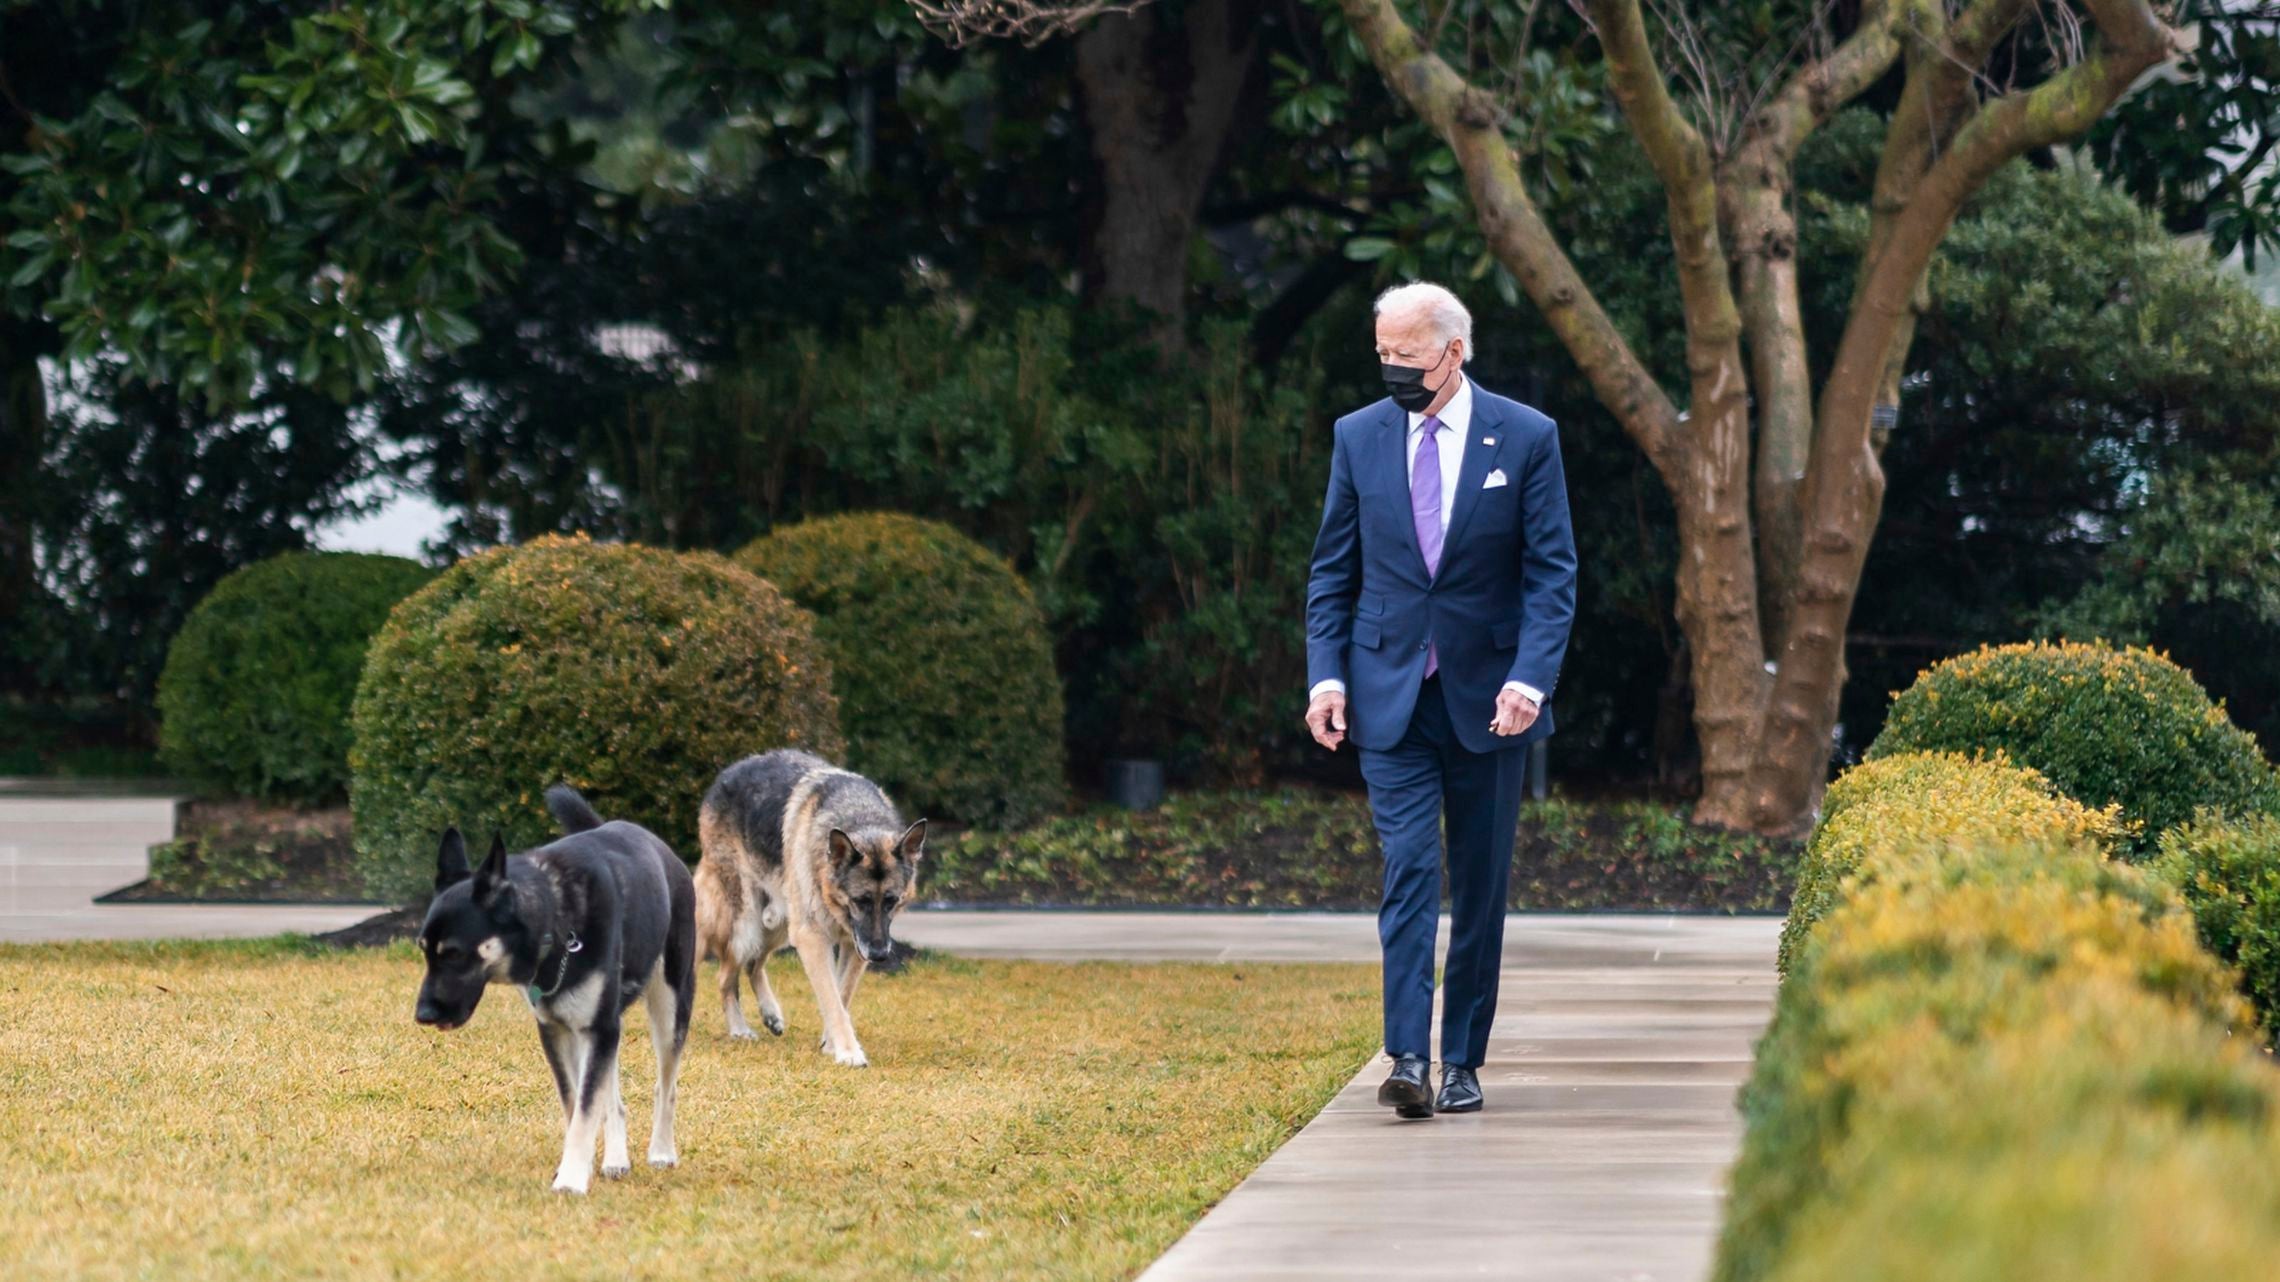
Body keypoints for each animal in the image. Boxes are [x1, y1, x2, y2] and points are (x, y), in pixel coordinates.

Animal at [410, 784, 693, 1195]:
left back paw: (661, 1151)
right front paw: (576, 1167)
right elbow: (576, 1104)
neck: (555, 920)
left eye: (454, 953)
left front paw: (571, 1180)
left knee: (665, 1087)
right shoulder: (560, 1031)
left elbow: (586, 1109)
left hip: (670, 1006)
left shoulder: (597, 1028)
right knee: (613, 1099)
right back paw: (616, 1159)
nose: (423, 1015)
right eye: (424, 951)